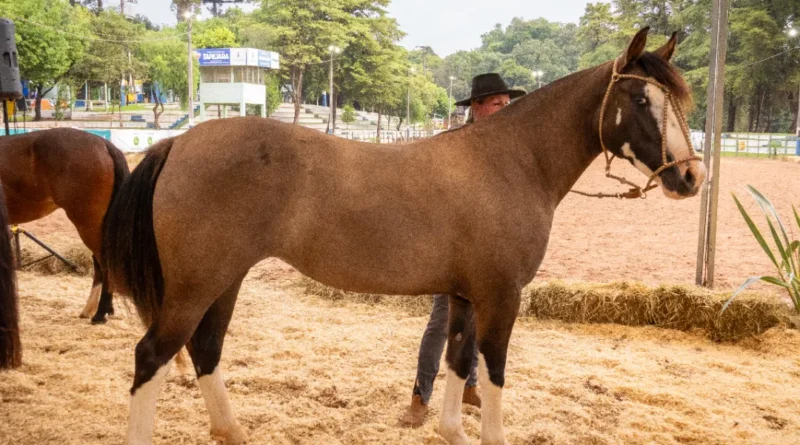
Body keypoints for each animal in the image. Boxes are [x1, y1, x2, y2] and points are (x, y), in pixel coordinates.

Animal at [104, 28, 705, 444]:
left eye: (679, 102)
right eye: (641, 100)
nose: (691, 177)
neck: (513, 161)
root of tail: (179, 143)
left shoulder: (465, 296)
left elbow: (457, 361)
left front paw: (451, 431)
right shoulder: (501, 297)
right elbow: (492, 372)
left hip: (224, 280)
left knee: (204, 349)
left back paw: (232, 431)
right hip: (196, 284)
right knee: (153, 355)